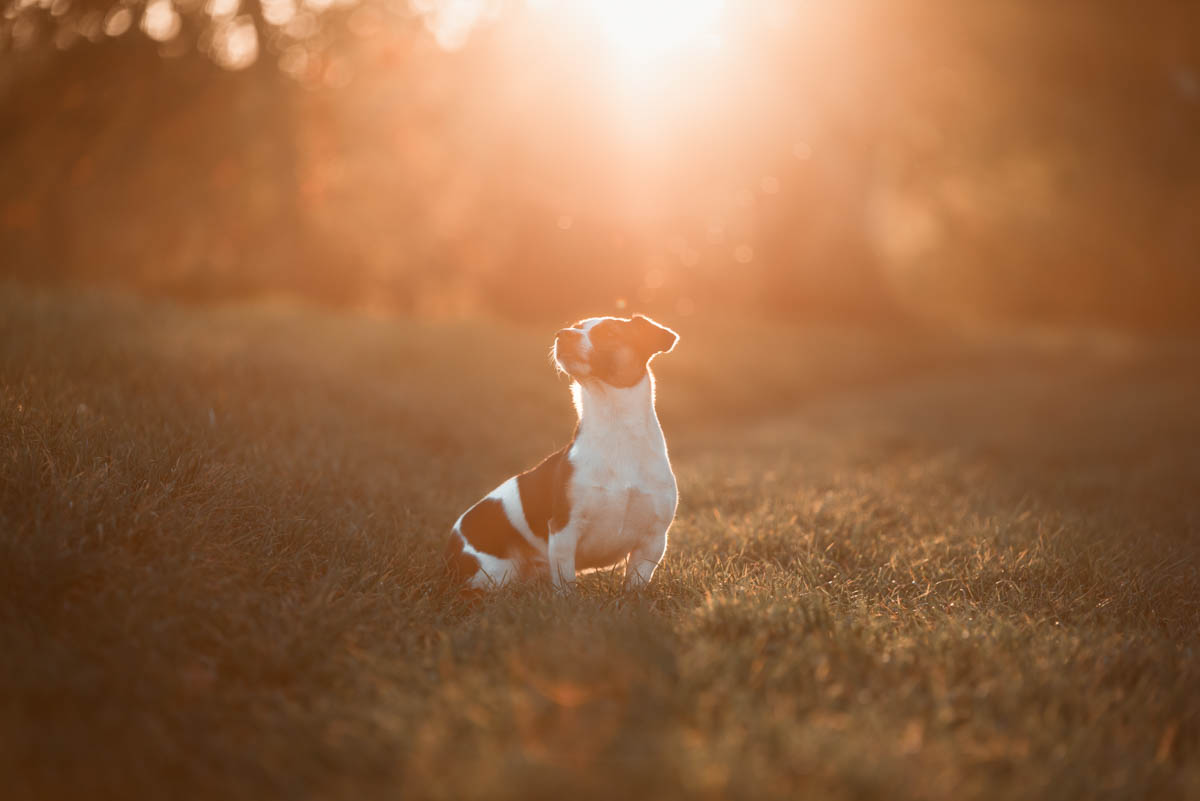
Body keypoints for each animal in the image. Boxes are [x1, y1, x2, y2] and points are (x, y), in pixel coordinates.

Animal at [446, 316, 681, 592]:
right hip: (494, 573)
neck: (616, 429)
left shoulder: (653, 540)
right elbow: (566, 583)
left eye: (610, 332)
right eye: (576, 326)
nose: (563, 334)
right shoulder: (564, 531)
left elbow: (635, 584)